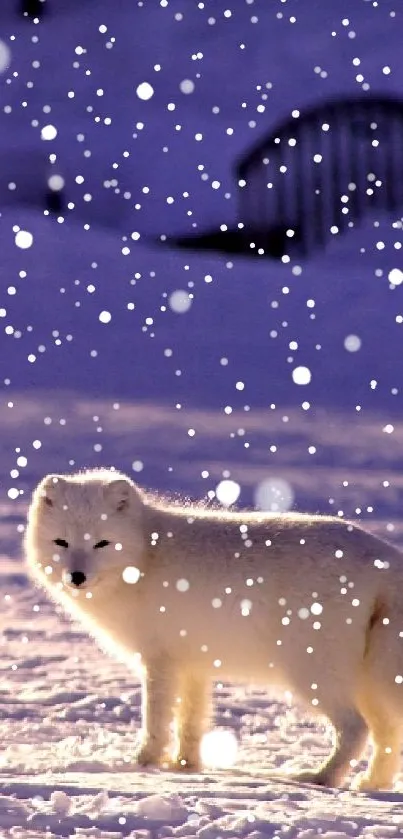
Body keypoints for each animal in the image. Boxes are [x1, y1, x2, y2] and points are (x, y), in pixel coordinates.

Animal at [24, 470, 403, 792]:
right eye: (61, 542)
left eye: (102, 543)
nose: (76, 577)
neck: (146, 555)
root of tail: (385, 557)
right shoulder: (194, 665)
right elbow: (191, 721)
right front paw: (186, 766)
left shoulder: (160, 661)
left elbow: (157, 718)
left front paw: (145, 763)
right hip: (367, 680)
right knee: (388, 733)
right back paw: (372, 784)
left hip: (313, 673)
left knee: (356, 728)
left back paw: (322, 778)